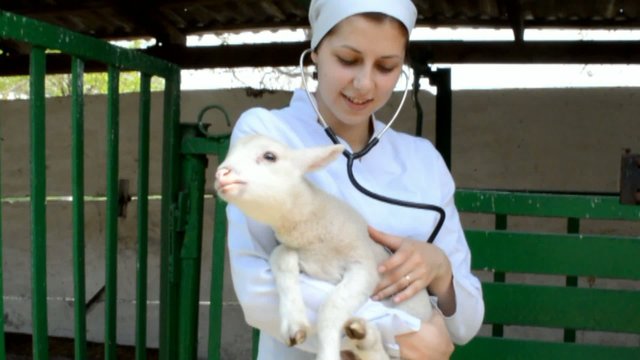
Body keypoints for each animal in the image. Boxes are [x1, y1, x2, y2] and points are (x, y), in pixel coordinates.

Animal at [216, 134, 436, 360]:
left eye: (270, 156)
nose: (222, 174)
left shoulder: (364, 266)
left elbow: (332, 306)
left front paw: (327, 352)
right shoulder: (301, 255)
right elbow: (281, 257)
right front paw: (295, 325)